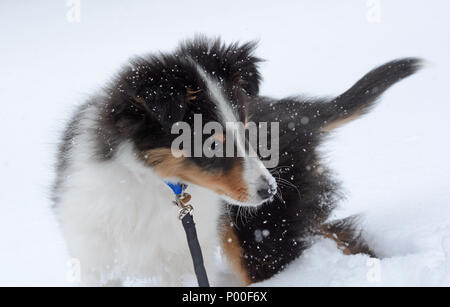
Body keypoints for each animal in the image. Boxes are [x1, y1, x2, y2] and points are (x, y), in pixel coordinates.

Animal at [52, 36, 422, 286]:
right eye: (211, 143)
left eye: (246, 132)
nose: (270, 190)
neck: (152, 186)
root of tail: (293, 114)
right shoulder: (96, 258)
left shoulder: (186, 260)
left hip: (261, 231)